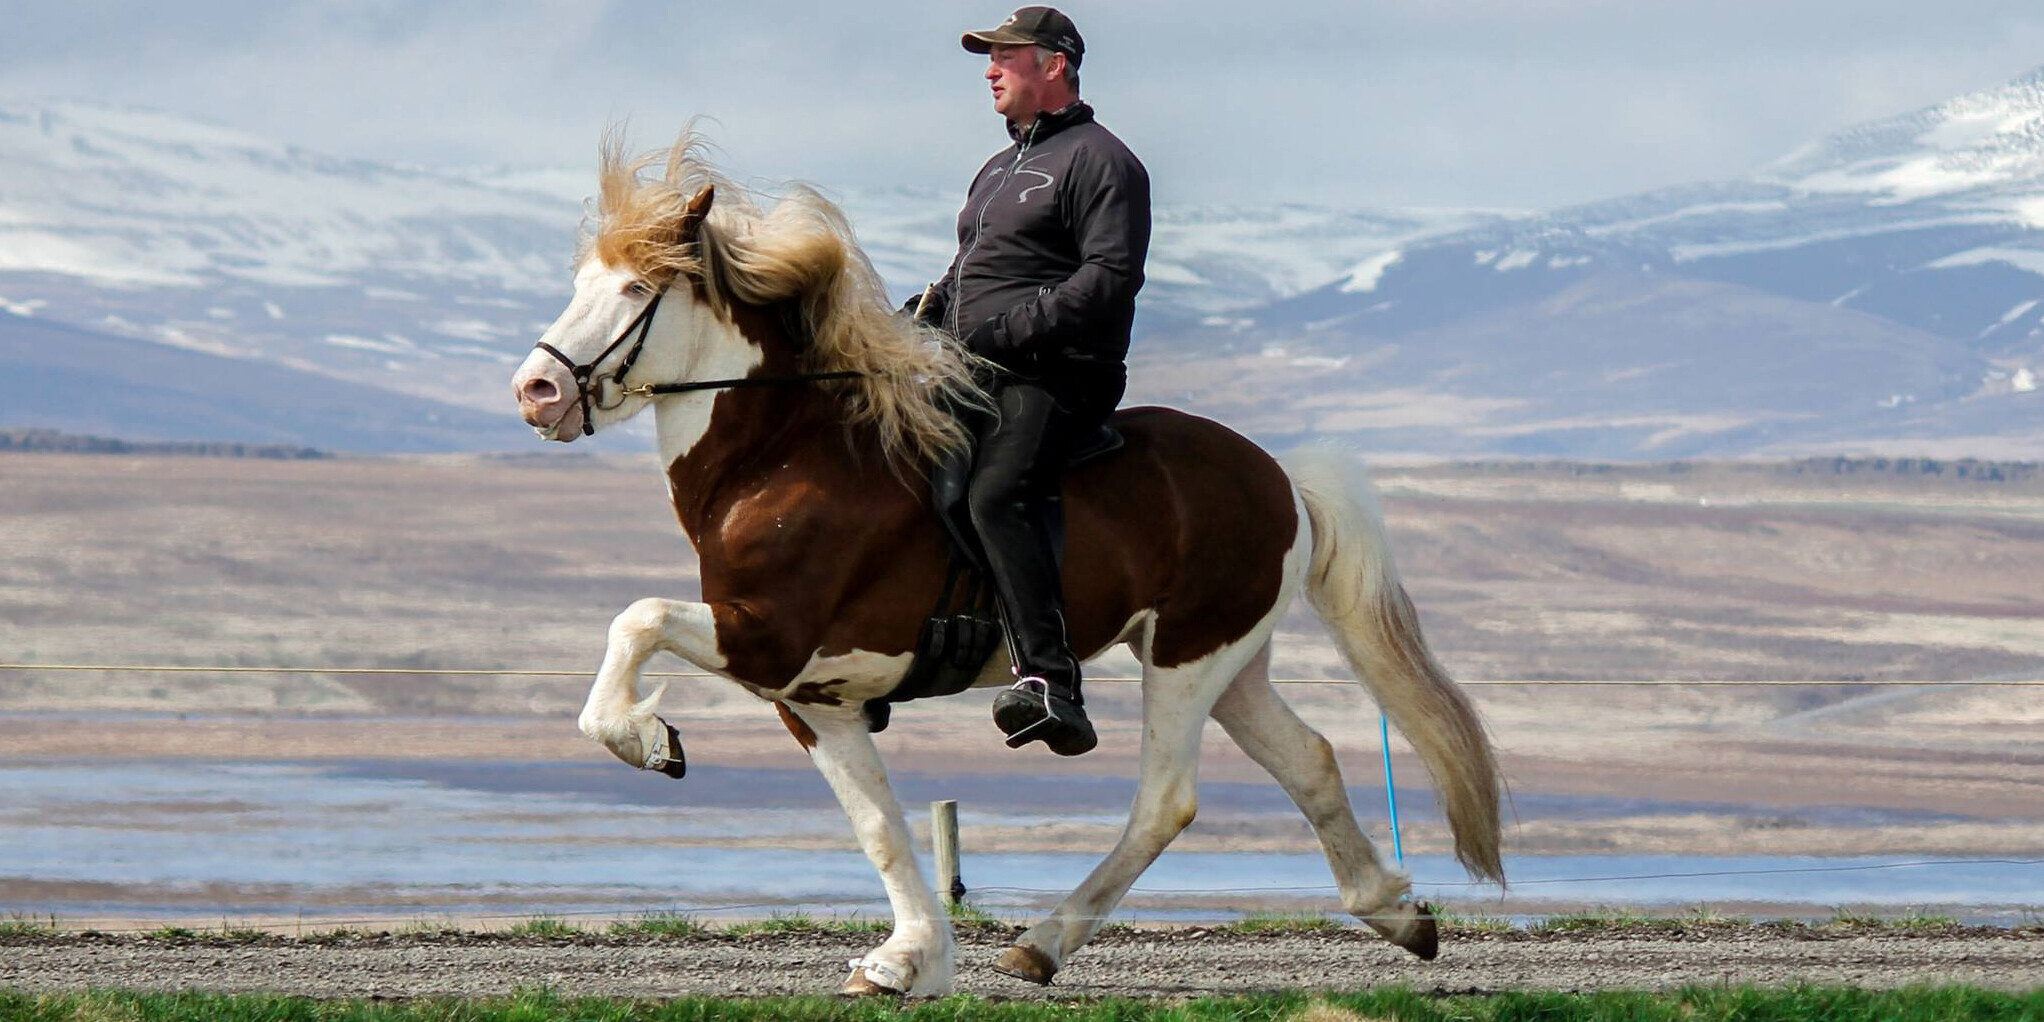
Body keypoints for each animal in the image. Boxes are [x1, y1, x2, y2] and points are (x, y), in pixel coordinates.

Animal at [510, 131, 1504, 993]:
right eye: (582, 280)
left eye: (637, 288)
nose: (537, 390)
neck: (783, 460)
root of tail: (1281, 478)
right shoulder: (814, 694)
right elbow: (879, 823)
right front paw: (905, 961)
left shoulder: (768, 639)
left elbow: (635, 619)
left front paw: (647, 740)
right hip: (1225, 655)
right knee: (1310, 760)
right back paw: (1398, 913)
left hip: (1189, 658)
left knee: (1167, 801)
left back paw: (1042, 944)